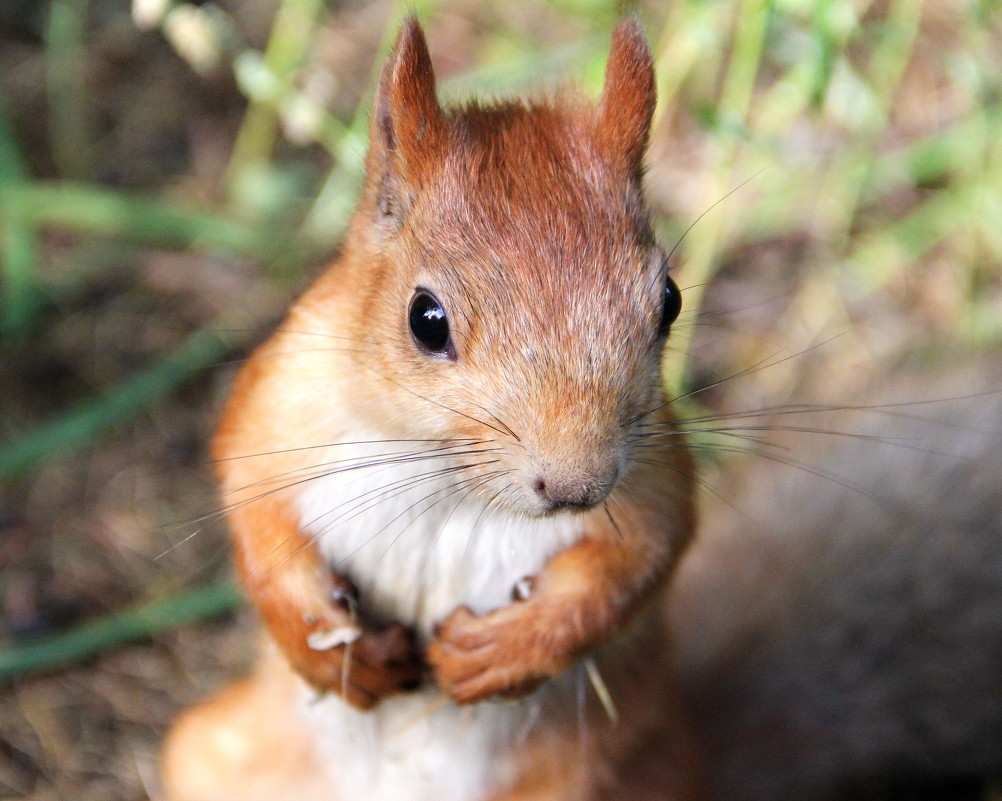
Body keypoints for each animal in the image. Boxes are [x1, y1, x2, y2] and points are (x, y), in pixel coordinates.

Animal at [160, 17, 701, 801]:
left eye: (670, 301)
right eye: (425, 319)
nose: (577, 486)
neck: (448, 482)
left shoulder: (654, 468)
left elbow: (645, 556)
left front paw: (506, 649)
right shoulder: (279, 406)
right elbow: (254, 515)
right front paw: (331, 652)